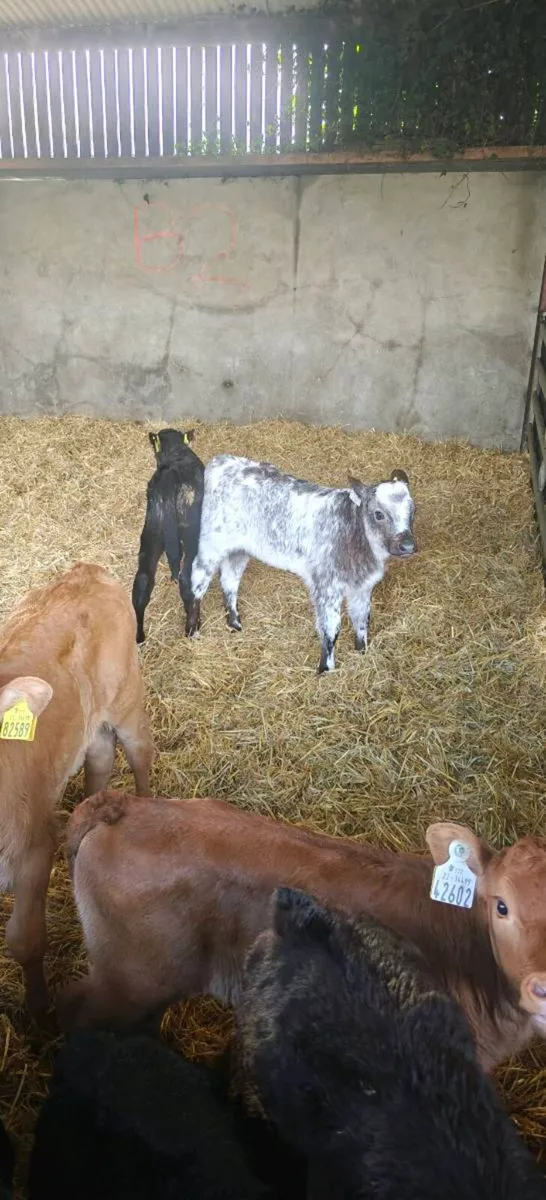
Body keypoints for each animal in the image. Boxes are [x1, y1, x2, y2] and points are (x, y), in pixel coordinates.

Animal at [0, 566, 153, 1016]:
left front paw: (38, 1009)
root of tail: (86, 570)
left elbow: (25, 939)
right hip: (93, 723)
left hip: (127, 697)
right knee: (100, 760)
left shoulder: (33, 847)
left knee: (141, 753)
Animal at [132, 428, 204, 643]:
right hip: (191, 534)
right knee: (187, 579)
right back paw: (192, 627)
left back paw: (139, 637)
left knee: (142, 582)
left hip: (152, 532)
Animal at [190, 456, 417, 672]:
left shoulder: (362, 587)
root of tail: (221, 461)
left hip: (238, 550)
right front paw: (326, 669)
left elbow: (362, 621)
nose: (407, 545)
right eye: (378, 514)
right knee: (196, 581)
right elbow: (331, 629)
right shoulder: (326, 586)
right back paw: (192, 630)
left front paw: (362, 653)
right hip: (211, 544)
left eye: (413, 510)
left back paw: (234, 623)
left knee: (229, 581)